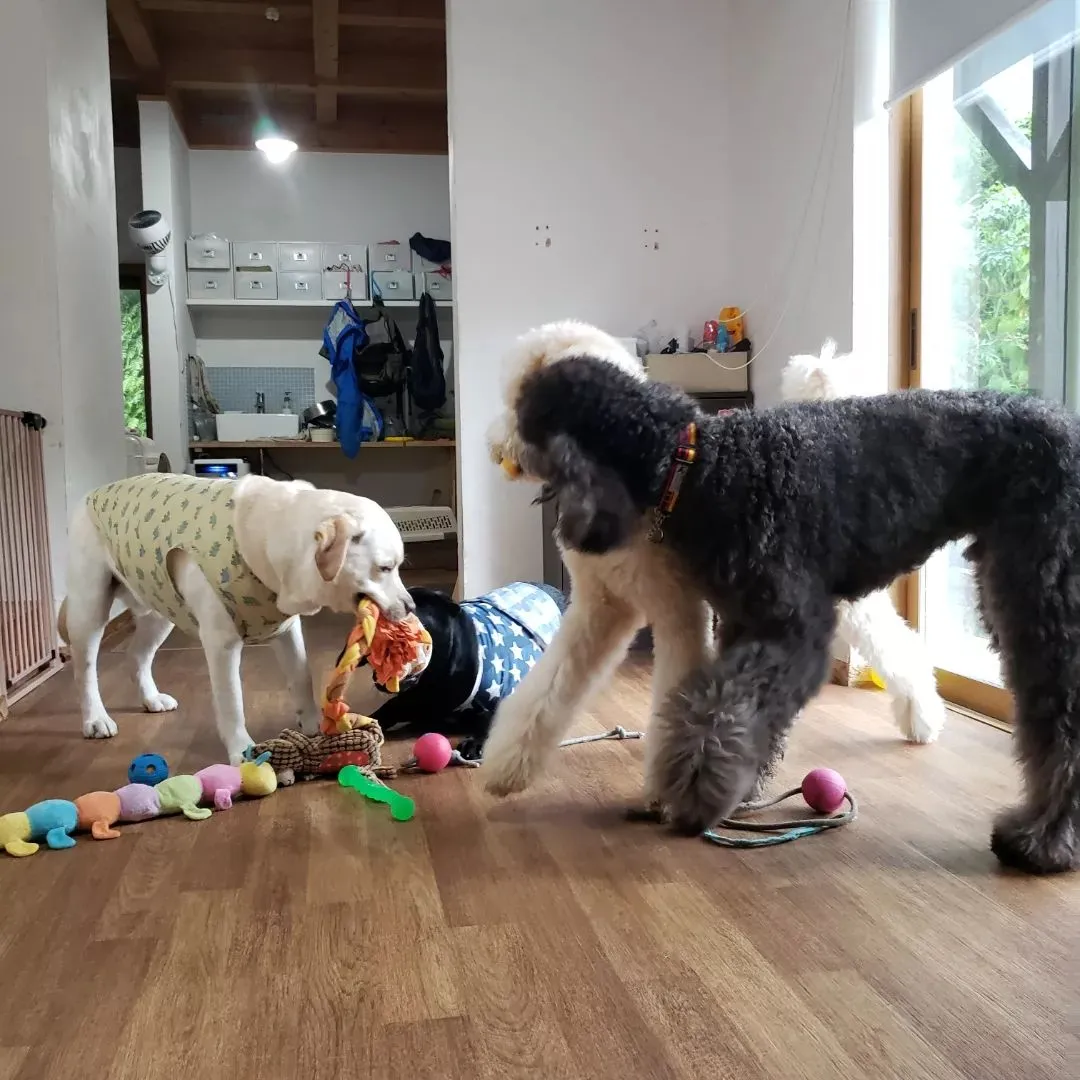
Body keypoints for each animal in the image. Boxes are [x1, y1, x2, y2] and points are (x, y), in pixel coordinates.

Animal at [509, 358, 1080, 872]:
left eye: (525, 423)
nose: (507, 454)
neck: (701, 466)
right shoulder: (743, 622)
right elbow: (722, 704)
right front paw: (736, 784)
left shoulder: (793, 630)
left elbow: (724, 708)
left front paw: (697, 787)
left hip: (1041, 596)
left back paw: (1042, 843)